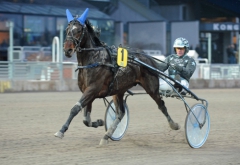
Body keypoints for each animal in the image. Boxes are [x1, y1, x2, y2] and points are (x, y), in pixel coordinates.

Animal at [53, 8, 179, 144]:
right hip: (118, 90)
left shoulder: (92, 89)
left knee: (161, 105)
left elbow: (75, 109)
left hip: (151, 87)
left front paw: (61, 131)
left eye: (79, 30)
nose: (67, 50)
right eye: (67, 29)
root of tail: (149, 59)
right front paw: (99, 122)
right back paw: (107, 135)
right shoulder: (88, 92)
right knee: (120, 113)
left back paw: (174, 125)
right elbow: (86, 119)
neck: (94, 60)